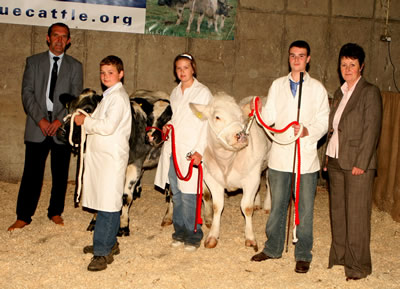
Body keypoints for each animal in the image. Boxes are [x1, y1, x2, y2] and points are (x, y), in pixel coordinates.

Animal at [191, 92, 272, 250]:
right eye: (217, 117)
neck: (227, 162)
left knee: (269, 182)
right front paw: (212, 236)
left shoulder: (251, 178)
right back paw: (258, 203)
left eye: (241, 117)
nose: (241, 135)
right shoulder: (212, 178)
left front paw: (250, 238)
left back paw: (267, 206)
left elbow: (247, 207)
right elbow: (217, 206)